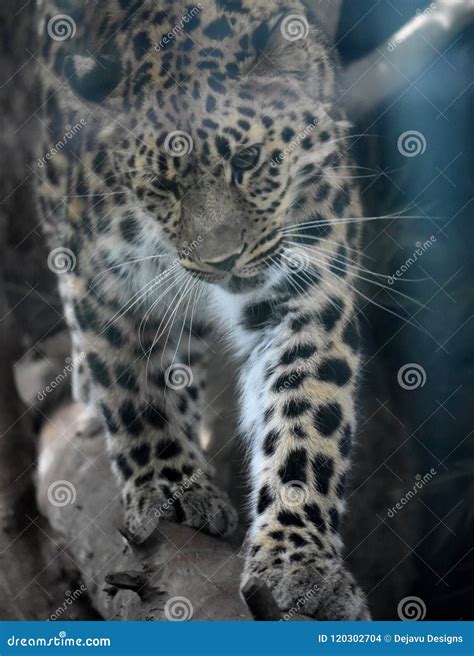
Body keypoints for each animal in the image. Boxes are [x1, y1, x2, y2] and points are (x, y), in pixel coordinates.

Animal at [37, 0, 370, 616]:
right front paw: (168, 487)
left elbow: (306, 420)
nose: (222, 260)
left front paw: (299, 564)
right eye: (162, 185)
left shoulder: (308, 293)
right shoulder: (103, 282)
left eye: (248, 159)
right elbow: (134, 394)